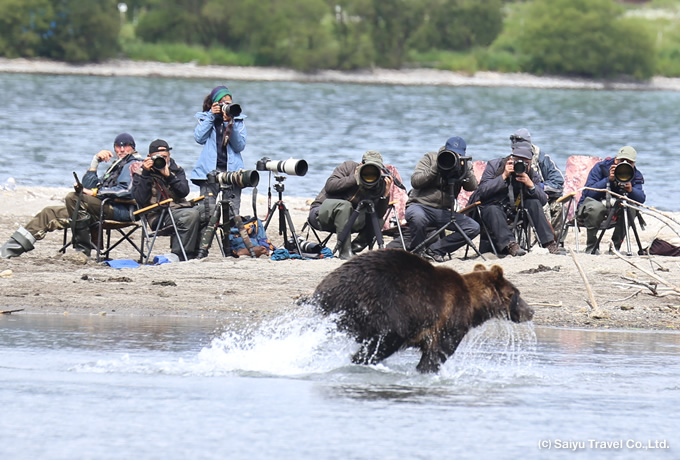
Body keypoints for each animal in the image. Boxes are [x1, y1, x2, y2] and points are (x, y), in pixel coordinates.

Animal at [310, 250, 532, 372]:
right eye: (516, 293)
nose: (531, 312)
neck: (474, 305)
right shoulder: (449, 319)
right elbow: (438, 353)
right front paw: (426, 369)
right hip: (383, 308)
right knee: (384, 341)